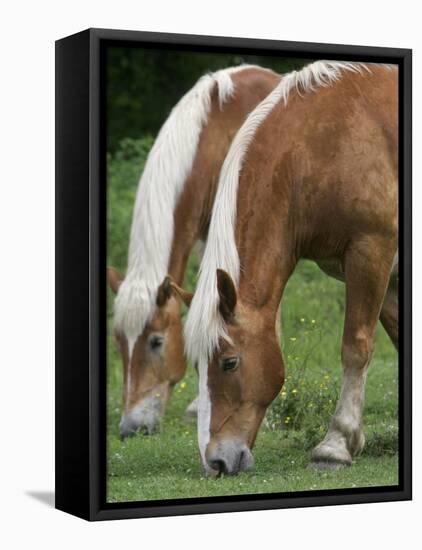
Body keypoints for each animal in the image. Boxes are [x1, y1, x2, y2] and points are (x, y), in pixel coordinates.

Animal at [171, 59, 396, 474]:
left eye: (229, 363)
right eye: (196, 366)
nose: (216, 462)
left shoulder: (372, 251)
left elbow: (356, 347)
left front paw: (336, 444)